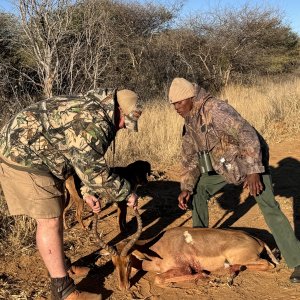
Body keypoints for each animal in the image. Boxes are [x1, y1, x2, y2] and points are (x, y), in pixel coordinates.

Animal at [93, 209, 278, 290]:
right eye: (113, 263)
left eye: (129, 261)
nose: (123, 287)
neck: (157, 247)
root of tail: (258, 240)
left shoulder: (184, 268)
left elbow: (159, 278)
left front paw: (204, 275)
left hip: (244, 258)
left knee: (270, 265)